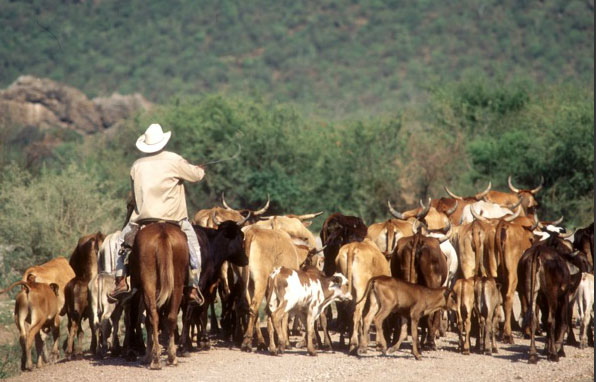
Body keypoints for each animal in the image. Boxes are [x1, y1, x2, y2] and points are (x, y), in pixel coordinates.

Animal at [129, 222, 189, 368]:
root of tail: (163, 232)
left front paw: (148, 355)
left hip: (148, 285)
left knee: (153, 317)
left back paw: (154, 359)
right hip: (177, 284)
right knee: (171, 317)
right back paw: (171, 357)